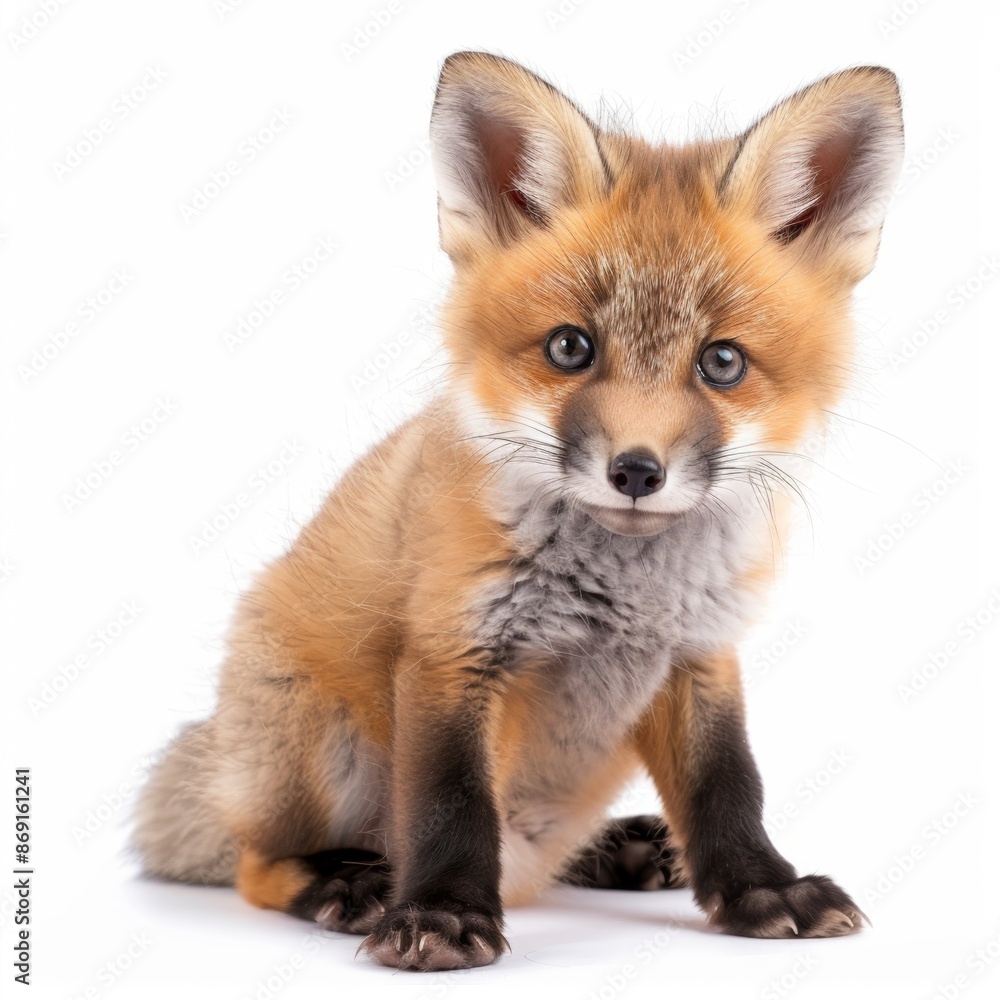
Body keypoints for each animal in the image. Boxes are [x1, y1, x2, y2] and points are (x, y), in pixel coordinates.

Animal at [132, 52, 904, 972]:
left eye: (722, 363)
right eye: (570, 348)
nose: (635, 470)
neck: (626, 595)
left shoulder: (701, 655)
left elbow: (728, 787)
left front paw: (763, 888)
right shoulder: (453, 648)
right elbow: (452, 802)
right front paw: (440, 913)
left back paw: (617, 848)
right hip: (322, 749)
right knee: (257, 863)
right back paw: (342, 883)